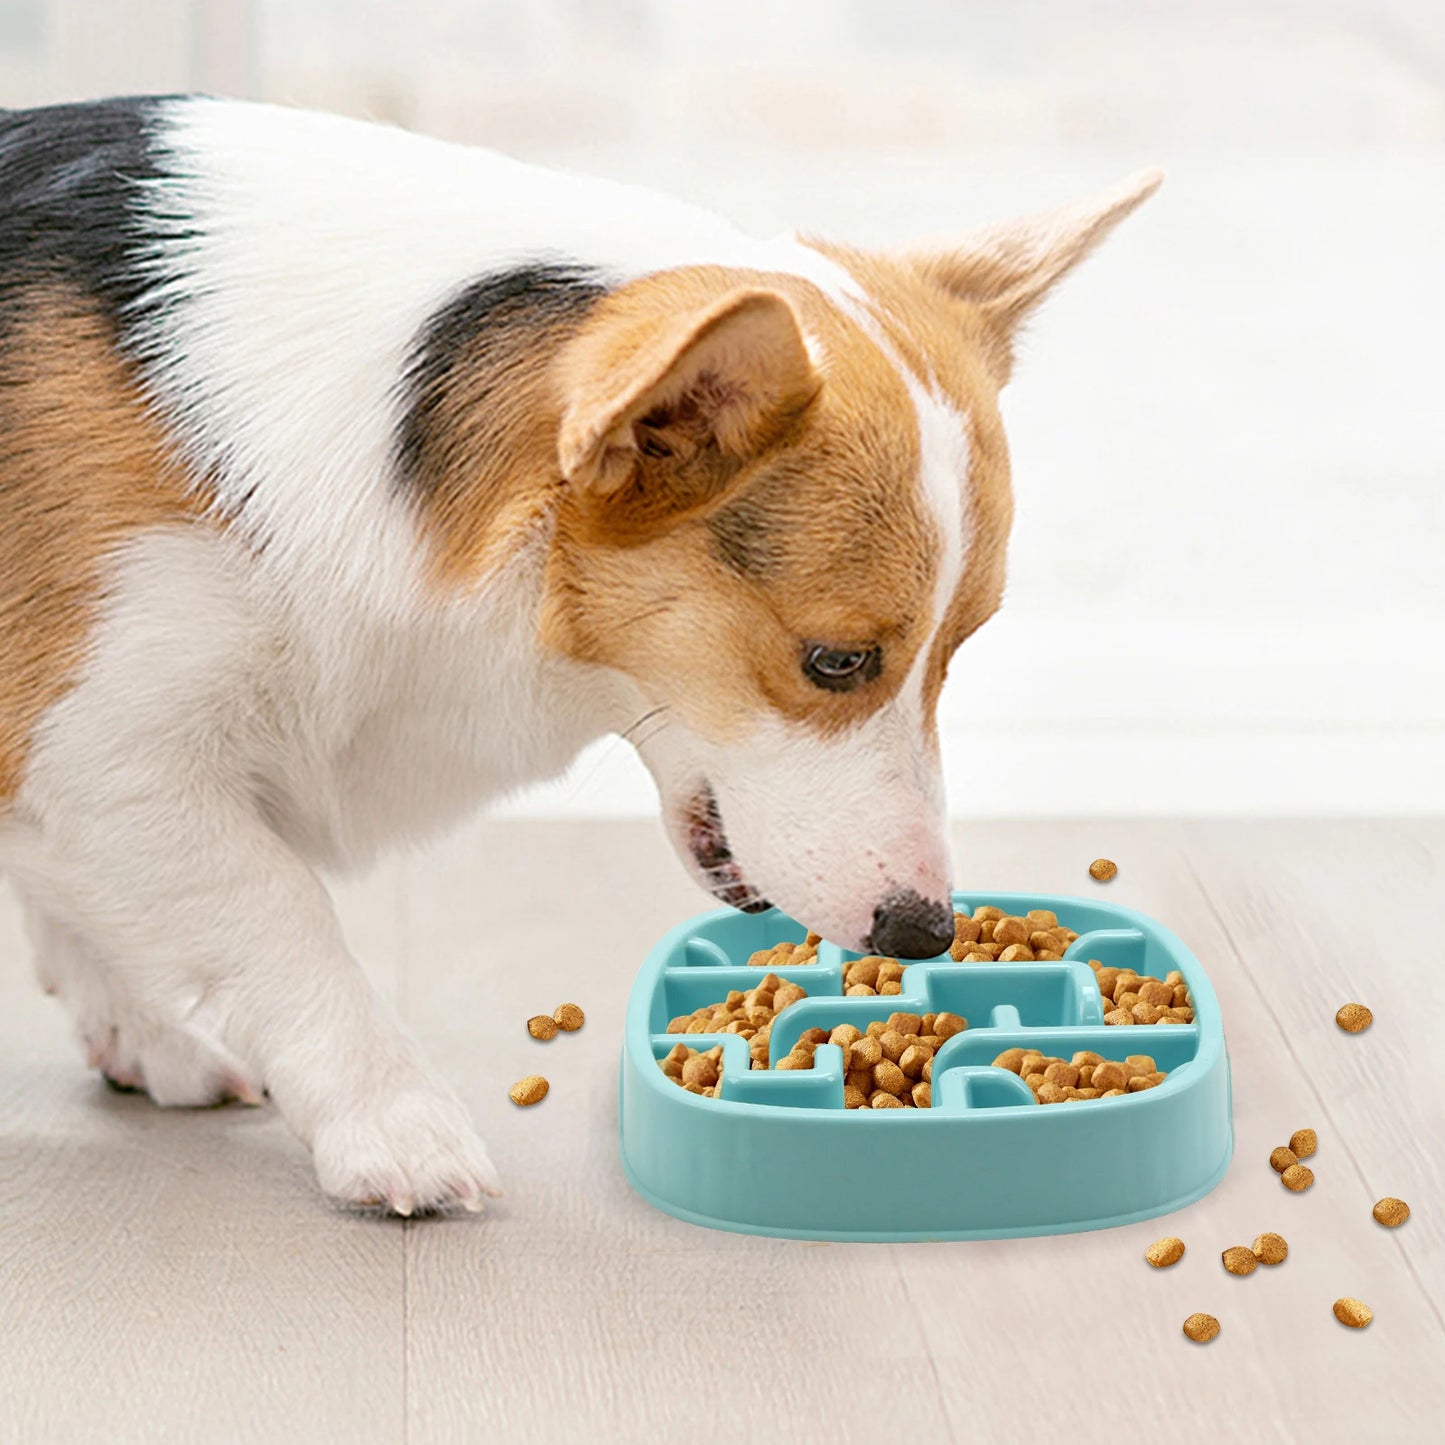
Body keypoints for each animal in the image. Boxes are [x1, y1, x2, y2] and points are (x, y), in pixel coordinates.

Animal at [0, 96, 1156, 1213]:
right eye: (833, 660)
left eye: (955, 651)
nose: (921, 933)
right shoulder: (114, 758)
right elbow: (281, 915)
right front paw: (395, 1125)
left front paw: (139, 1025)